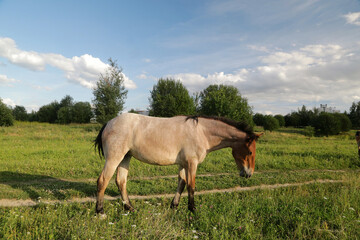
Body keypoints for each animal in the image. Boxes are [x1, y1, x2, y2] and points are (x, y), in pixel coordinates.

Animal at [93, 113, 262, 214]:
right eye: (250, 152)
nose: (248, 174)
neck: (201, 132)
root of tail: (109, 123)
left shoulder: (183, 164)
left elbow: (181, 182)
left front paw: (174, 206)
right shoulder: (192, 163)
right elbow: (191, 185)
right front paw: (192, 209)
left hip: (125, 158)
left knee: (121, 181)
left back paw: (130, 208)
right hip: (115, 157)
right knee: (103, 180)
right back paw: (100, 211)